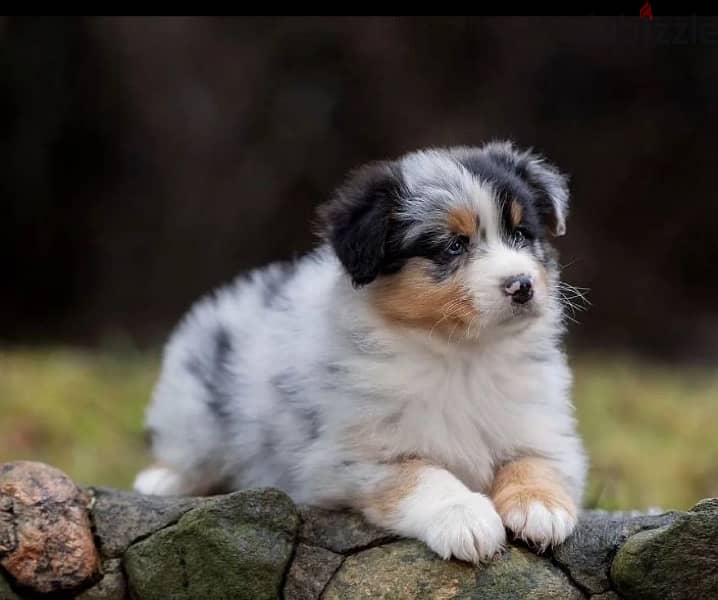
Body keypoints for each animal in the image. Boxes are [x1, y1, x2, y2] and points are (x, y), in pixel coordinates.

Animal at [135, 139, 592, 564]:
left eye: (521, 234)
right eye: (452, 246)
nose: (522, 285)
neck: (461, 355)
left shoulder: (541, 428)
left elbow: (535, 462)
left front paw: (540, 507)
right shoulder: (353, 459)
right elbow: (424, 475)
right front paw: (466, 518)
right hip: (194, 407)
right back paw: (161, 481)